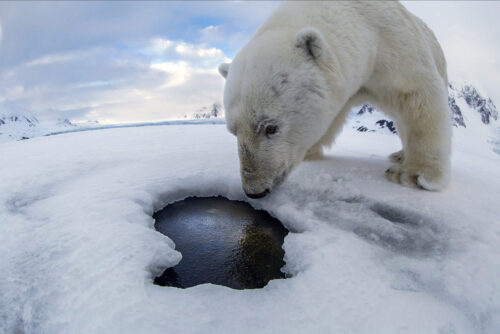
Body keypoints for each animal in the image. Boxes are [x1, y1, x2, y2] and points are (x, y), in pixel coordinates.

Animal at [218, 0, 450, 198]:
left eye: (270, 127)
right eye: (233, 130)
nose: (255, 191)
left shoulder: (394, 46)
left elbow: (417, 98)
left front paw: (414, 174)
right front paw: (310, 152)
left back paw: (400, 156)